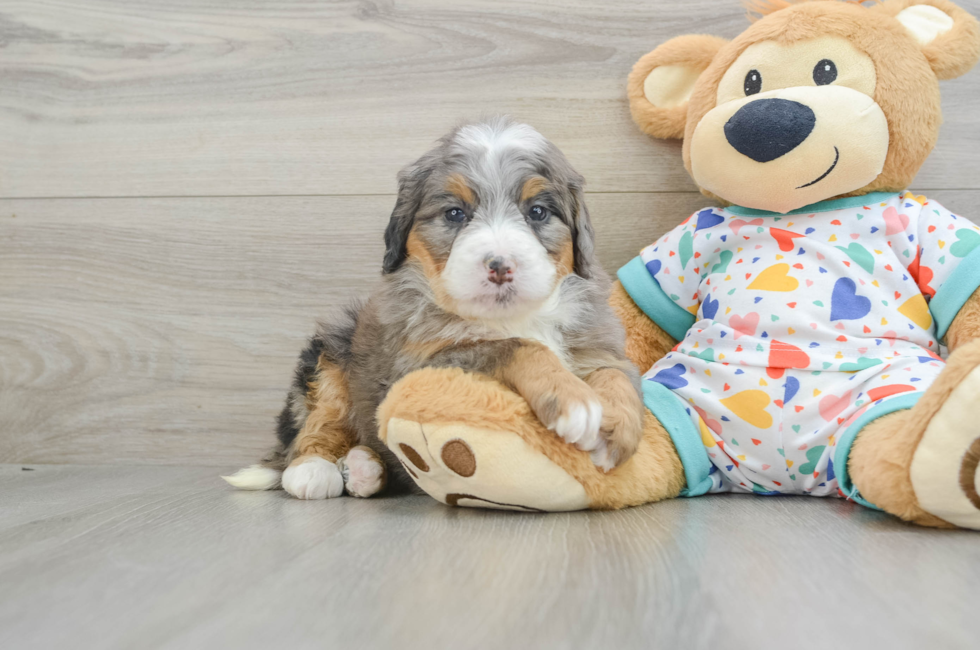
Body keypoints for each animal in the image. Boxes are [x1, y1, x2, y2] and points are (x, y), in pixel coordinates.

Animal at [225, 119, 648, 498]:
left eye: (538, 212)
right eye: (455, 214)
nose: (499, 266)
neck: (512, 316)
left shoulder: (597, 344)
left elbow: (615, 374)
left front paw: (618, 432)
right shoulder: (416, 366)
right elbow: (516, 346)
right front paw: (574, 403)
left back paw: (364, 469)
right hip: (331, 346)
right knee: (321, 417)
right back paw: (313, 469)